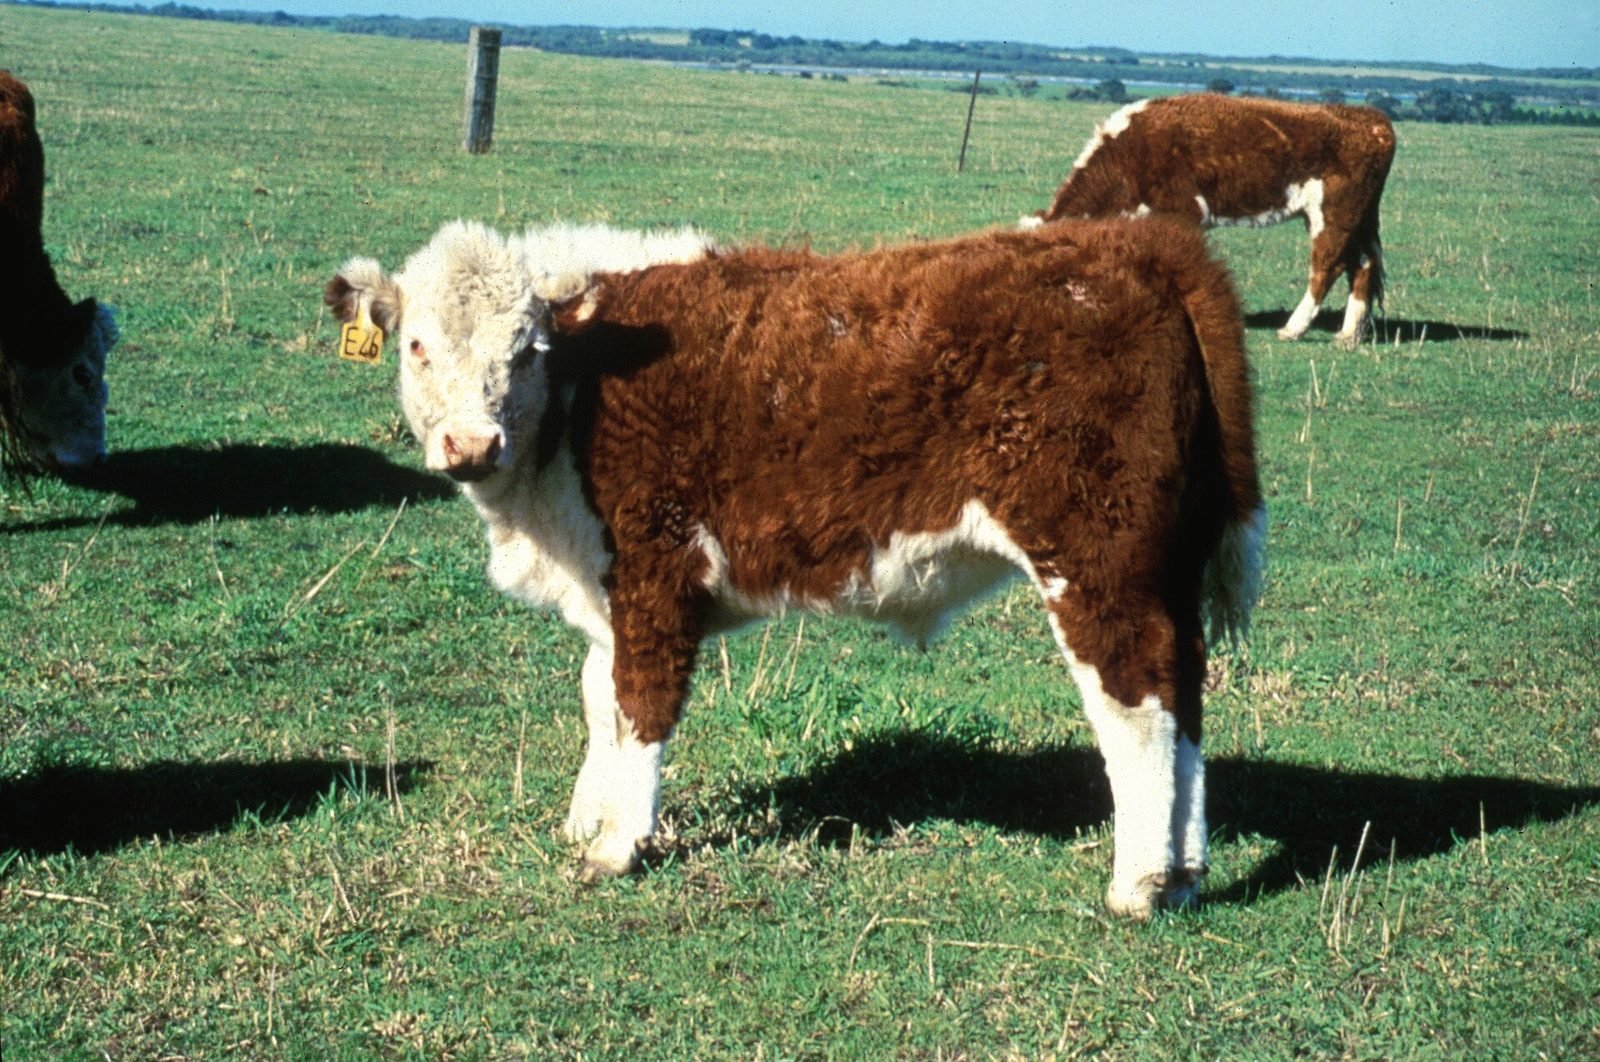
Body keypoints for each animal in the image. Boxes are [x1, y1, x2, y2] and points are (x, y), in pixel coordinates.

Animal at [326, 216, 1266, 919]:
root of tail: (1135, 247)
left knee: (1135, 702)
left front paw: (619, 845)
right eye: (415, 346)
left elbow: (642, 704)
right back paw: (1185, 873)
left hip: (1095, 558)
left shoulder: (655, 571)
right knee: (1184, 690)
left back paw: (1138, 884)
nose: (470, 445)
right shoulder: (604, 586)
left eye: (526, 350)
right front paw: (586, 819)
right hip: (1162, 563)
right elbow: (601, 700)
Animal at [1027, 93, 1396, 350]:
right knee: (1362, 265)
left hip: (1334, 213)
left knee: (1327, 267)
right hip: (1355, 219)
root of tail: (1370, 118)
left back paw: (1293, 329)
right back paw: (1348, 335)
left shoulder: (1183, 212)